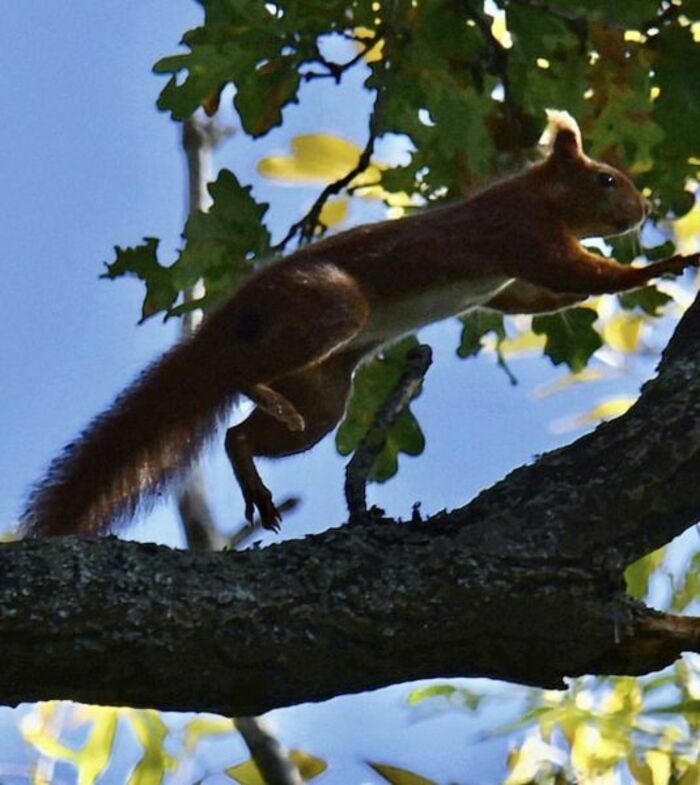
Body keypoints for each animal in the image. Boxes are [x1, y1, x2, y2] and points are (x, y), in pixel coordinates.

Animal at [21, 113, 700, 536]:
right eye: (605, 179)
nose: (642, 210)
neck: (539, 196)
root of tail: (229, 318)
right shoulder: (521, 232)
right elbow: (588, 276)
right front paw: (668, 264)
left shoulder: (517, 279)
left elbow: (536, 300)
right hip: (327, 309)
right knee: (247, 376)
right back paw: (255, 393)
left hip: (323, 396)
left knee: (242, 434)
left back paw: (255, 481)